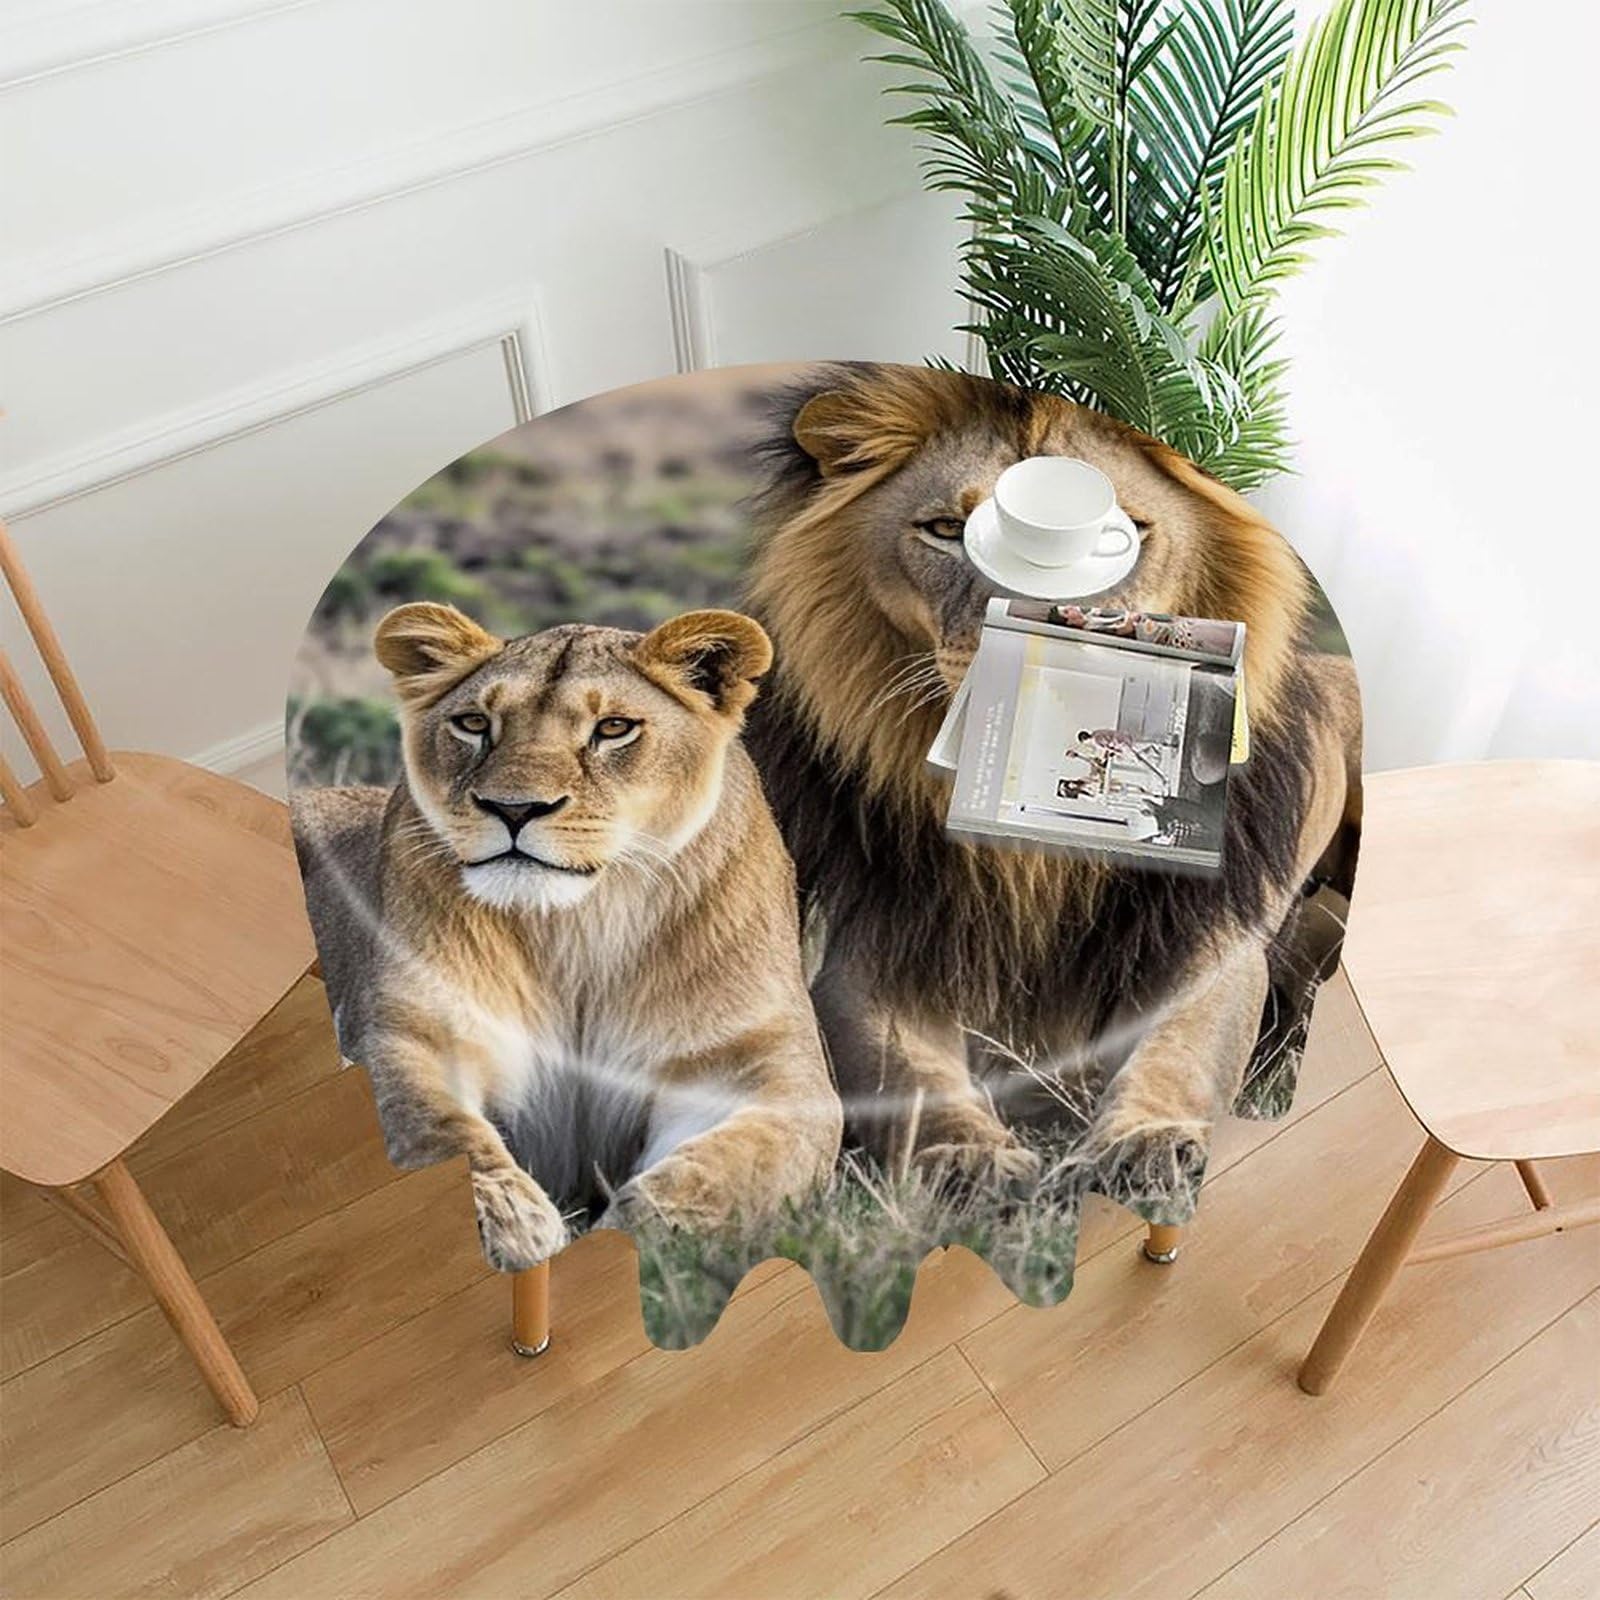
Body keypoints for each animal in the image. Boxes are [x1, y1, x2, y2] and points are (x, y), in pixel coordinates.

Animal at [291, 602, 843, 1270]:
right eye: (474, 723)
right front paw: (506, 1223)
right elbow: (438, 1130)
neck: (578, 929)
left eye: (614, 728)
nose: (514, 809)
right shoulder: (411, 1035)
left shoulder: (764, 1074)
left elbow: (727, 1167)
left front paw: (634, 1242)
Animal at [742, 363, 1362, 1207]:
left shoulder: (1209, 942)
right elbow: (912, 1076)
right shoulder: (879, 951)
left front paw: (1146, 1144)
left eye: (1120, 537)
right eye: (946, 529)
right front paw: (966, 1160)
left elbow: (1178, 1047)